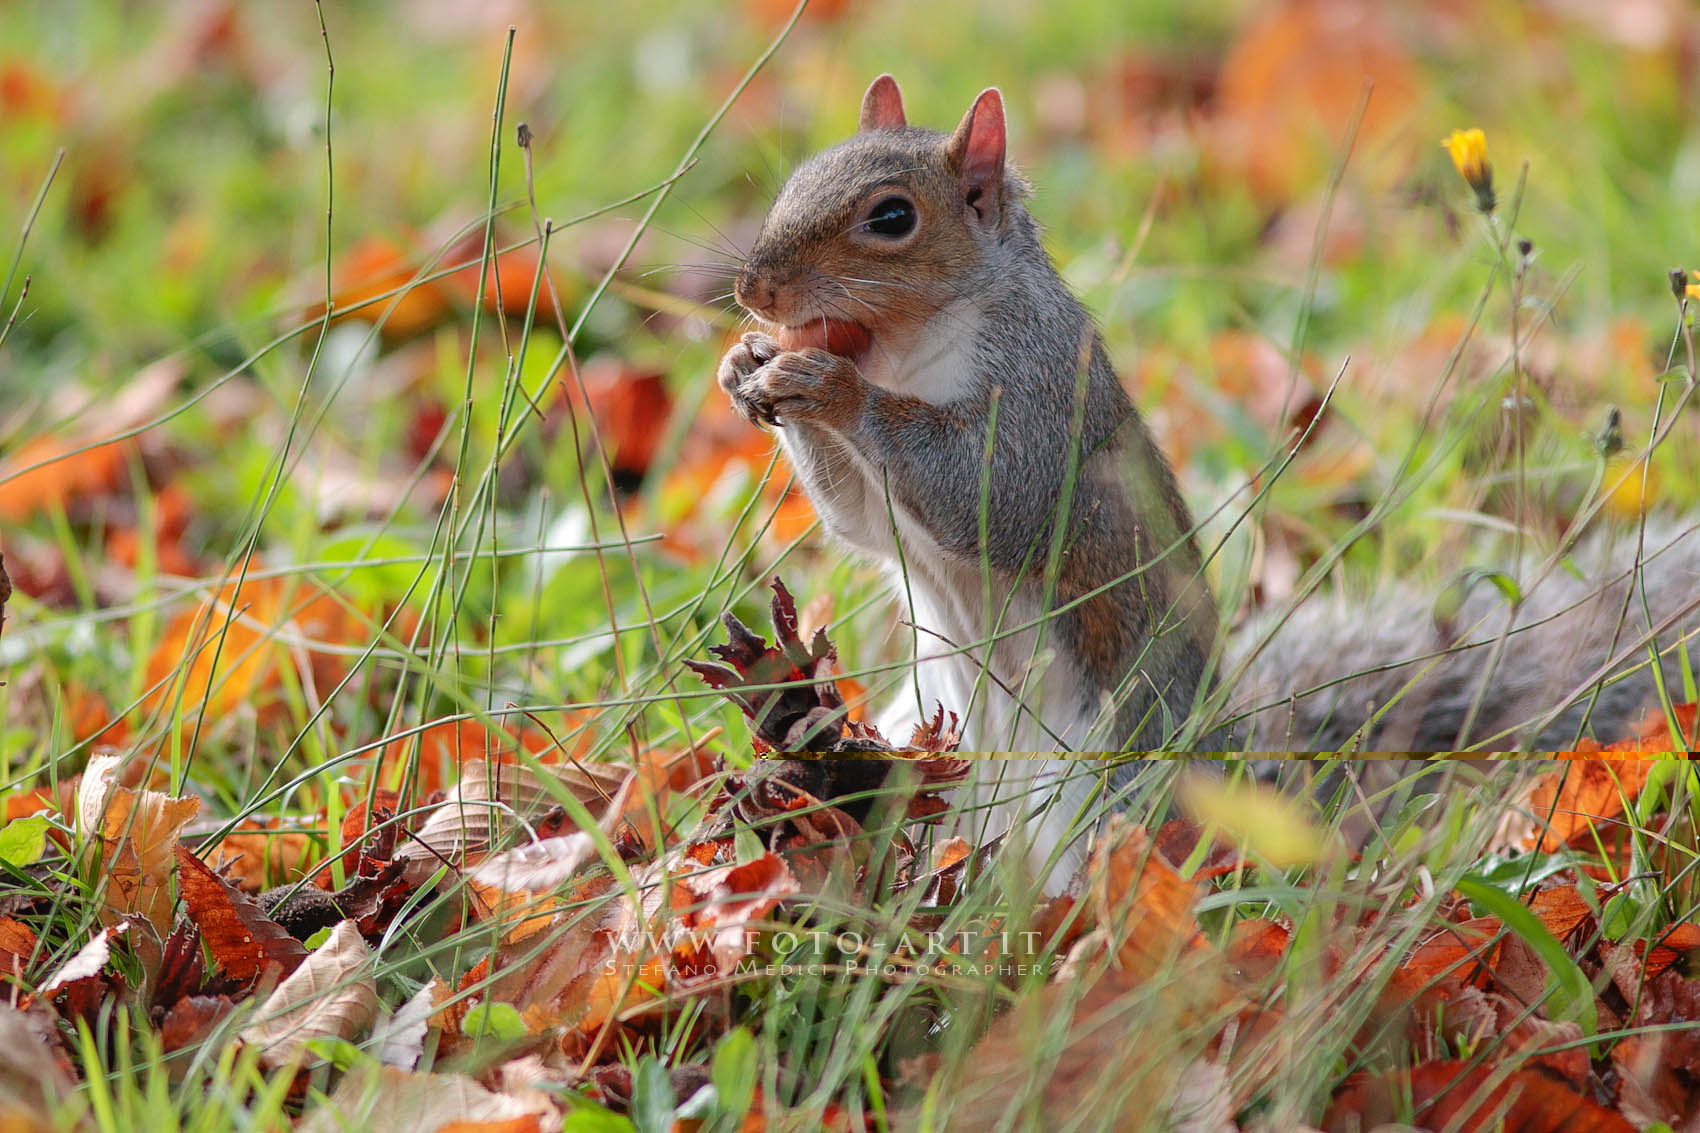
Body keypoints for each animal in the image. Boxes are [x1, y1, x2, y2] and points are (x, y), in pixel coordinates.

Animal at [716, 74, 1700, 757]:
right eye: (798, 177)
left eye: (891, 217)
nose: (754, 290)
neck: (908, 347)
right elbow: (862, 519)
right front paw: (747, 365)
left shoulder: (1042, 401)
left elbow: (985, 494)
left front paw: (833, 389)